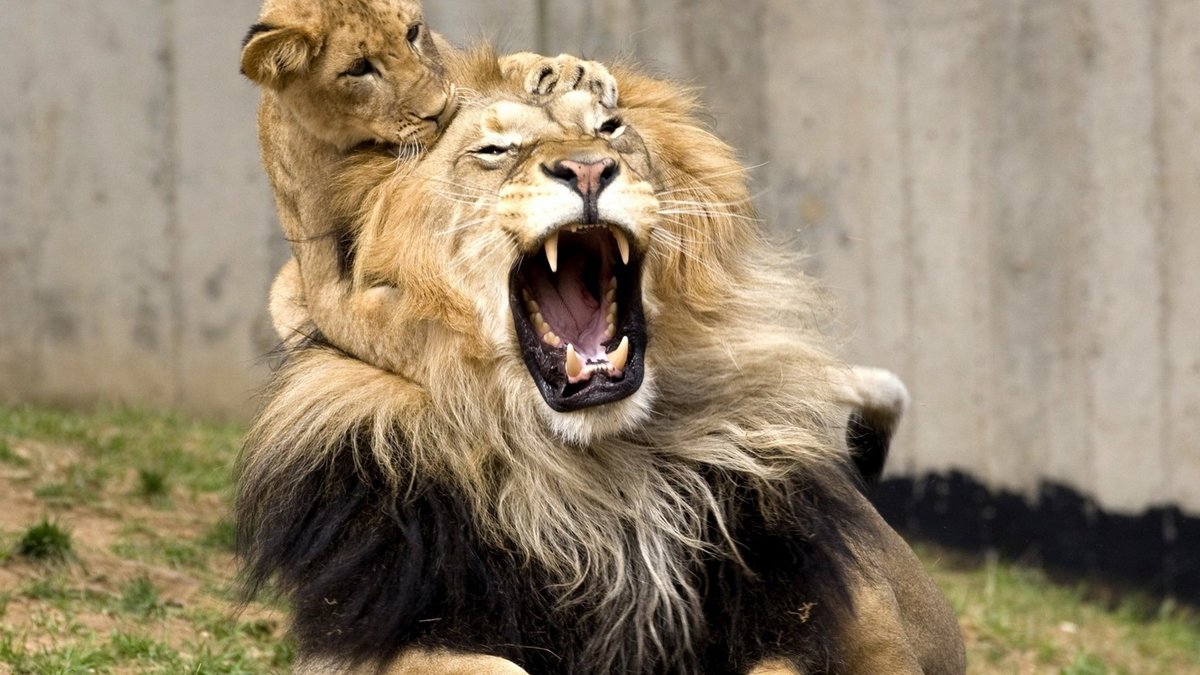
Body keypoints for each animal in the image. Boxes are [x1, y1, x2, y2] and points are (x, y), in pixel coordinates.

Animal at [237, 51, 964, 674]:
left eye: (611, 130)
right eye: (494, 151)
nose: (588, 170)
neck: (598, 479)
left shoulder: (804, 612)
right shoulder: (370, 629)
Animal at [241, 0, 617, 376]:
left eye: (412, 33)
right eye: (359, 68)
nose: (439, 110)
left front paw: (569, 72)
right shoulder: (324, 285)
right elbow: (388, 328)